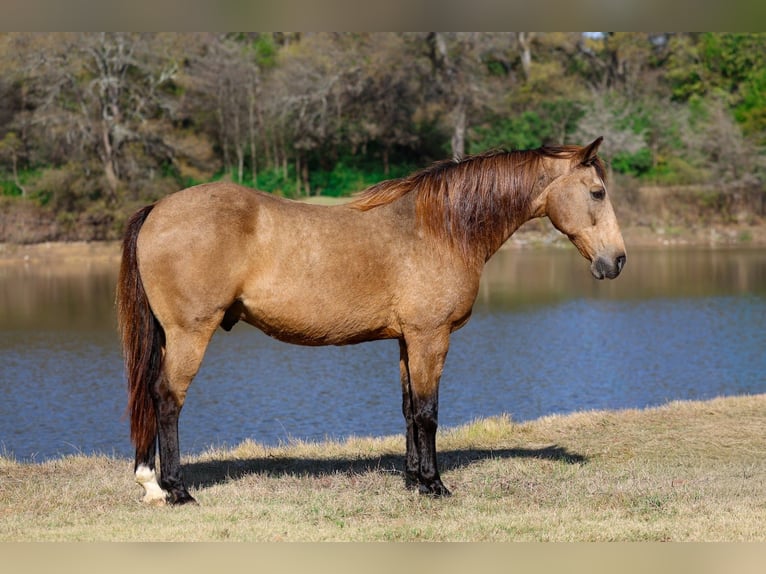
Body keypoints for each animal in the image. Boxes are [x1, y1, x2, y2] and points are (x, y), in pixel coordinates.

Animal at [117, 136, 625, 505]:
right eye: (597, 192)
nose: (617, 261)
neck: (440, 228)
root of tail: (158, 209)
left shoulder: (406, 340)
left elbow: (407, 409)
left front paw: (413, 479)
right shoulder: (430, 337)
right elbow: (428, 412)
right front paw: (435, 486)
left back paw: (150, 483)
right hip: (189, 333)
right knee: (167, 398)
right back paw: (174, 489)